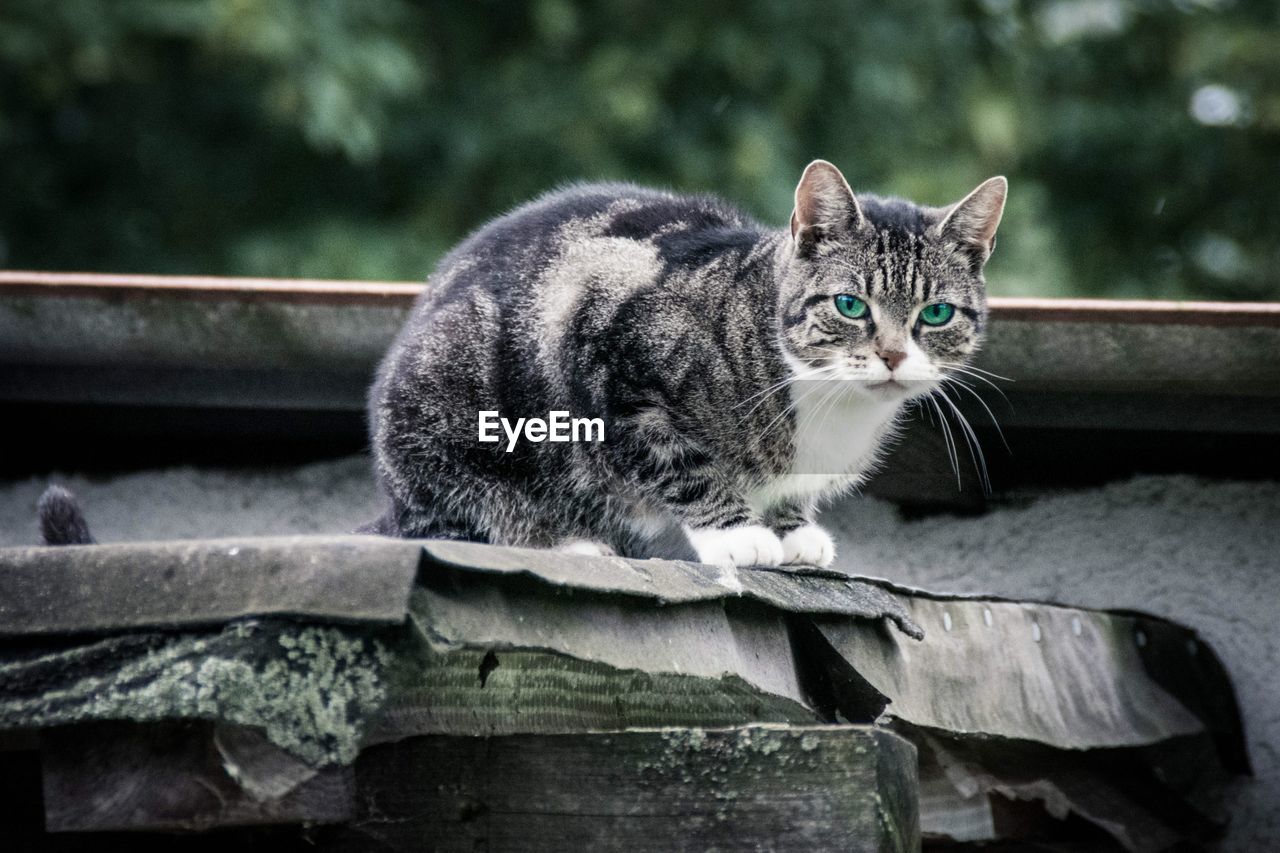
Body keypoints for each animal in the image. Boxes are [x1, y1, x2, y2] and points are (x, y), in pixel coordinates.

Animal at [358, 161, 998, 571]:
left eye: (936, 313)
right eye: (850, 305)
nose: (892, 355)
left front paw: (793, 529)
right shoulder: (615, 369)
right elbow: (682, 464)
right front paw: (740, 535)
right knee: (453, 522)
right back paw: (567, 544)